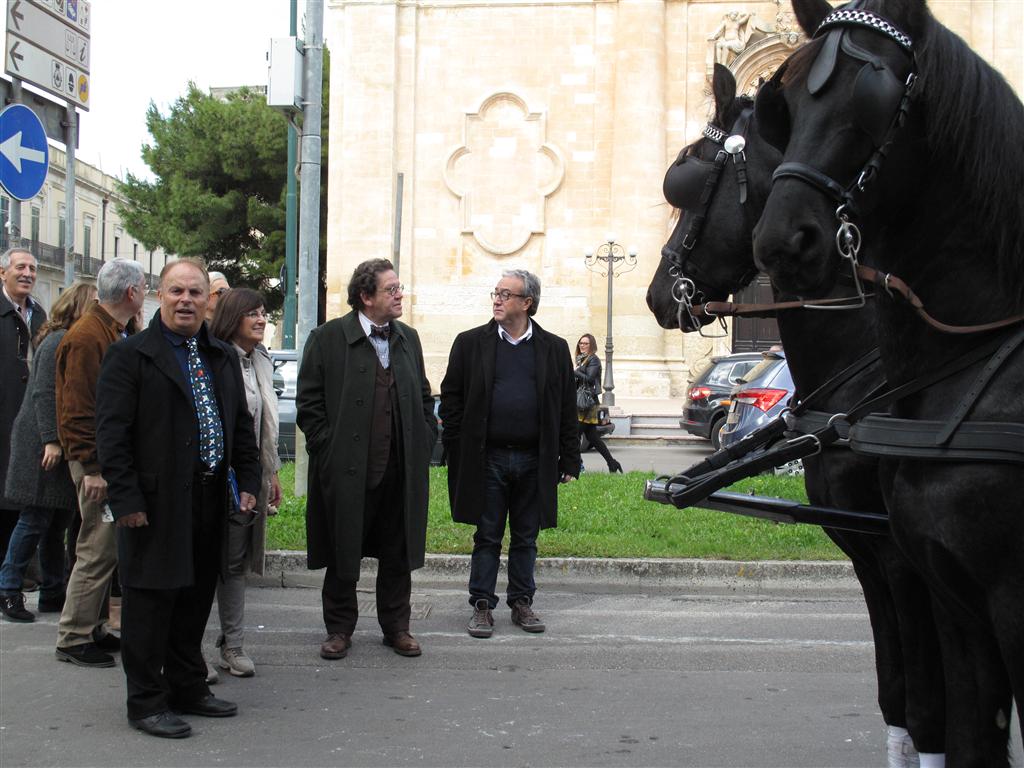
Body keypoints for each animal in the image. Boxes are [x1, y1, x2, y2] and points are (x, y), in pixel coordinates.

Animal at [647, 62, 945, 767]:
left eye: (688, 177)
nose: (655, 294)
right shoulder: (870, 557)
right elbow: (895, 696)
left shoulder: (907, 561)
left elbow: (926, 705)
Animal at [751, 0, 1024, 763]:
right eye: (784, 106)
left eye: (872, 99)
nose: (781, 242)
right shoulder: (935, 587)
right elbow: (942, 723)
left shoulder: (969, 589)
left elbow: (925, 710)